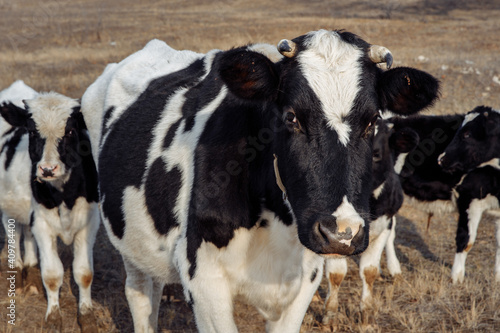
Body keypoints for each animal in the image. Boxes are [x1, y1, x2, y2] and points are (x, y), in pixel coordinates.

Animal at [0, 89, 99, 330]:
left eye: (71, 130)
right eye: (32, 132)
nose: (47, 169)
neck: (64, 196)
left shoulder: (90, 222)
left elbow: (84, 272)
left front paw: (87, 316)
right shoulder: (43, 225)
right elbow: (53, 275)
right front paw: (53, 318)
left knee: (27, 233)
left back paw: (32, 272)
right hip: (9, 207)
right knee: (13, 233)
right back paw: (18, 272)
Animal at [81, 29, 438, 330]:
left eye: (372, 120)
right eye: (291, 116)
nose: (341, 234)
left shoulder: (305, 278)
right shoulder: (203, 279)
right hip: (128, 241)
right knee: (140, 295)